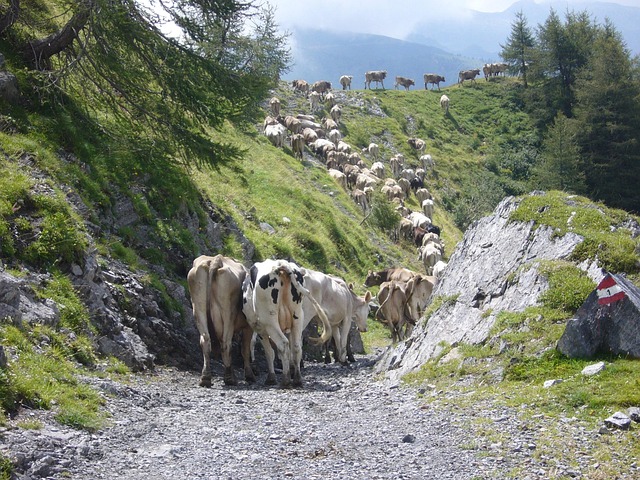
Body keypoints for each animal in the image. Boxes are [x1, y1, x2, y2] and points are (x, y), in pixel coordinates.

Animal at [187, 255, 255, 387]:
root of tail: (215, 260)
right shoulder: (248, 326)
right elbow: (245, 349)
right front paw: (249, 375)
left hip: (198, 308)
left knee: (205, 340)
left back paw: (206, 377)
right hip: (228, 312)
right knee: (226, 343)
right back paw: (229, 378)